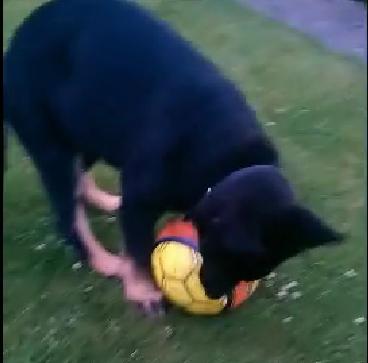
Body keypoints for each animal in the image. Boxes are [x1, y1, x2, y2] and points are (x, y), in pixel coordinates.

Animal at [3, 0, 342, 312]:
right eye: (233, 259)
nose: (215, 296)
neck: (230, 163)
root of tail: (19, 38)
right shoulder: (140, 201)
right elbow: (139, 252)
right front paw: (142, 292)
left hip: (87, 123)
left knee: (79, 176)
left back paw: (102, 201)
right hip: (50, 140)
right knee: (68, 214)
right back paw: (104, 261)